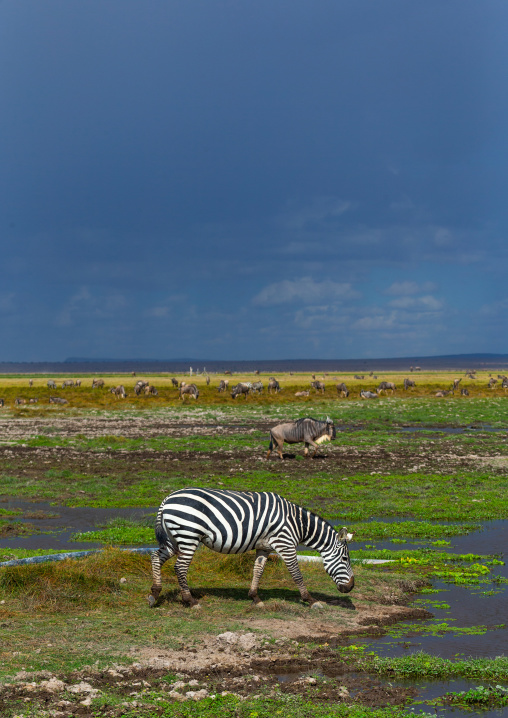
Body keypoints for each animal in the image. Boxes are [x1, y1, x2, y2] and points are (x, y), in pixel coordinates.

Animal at [148, 488, 354, 610]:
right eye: (345, 559)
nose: (351, 587)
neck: (296, 524)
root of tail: (167, 499)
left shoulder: (264, 547)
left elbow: (258, 570)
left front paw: (255, 598)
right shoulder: (285, 544)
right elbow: (296, 574)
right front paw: (310, 600)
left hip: (174, 538)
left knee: (156, 556)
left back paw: (154, 594)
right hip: (188, 535)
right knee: (180, 567)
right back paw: (190, 601)